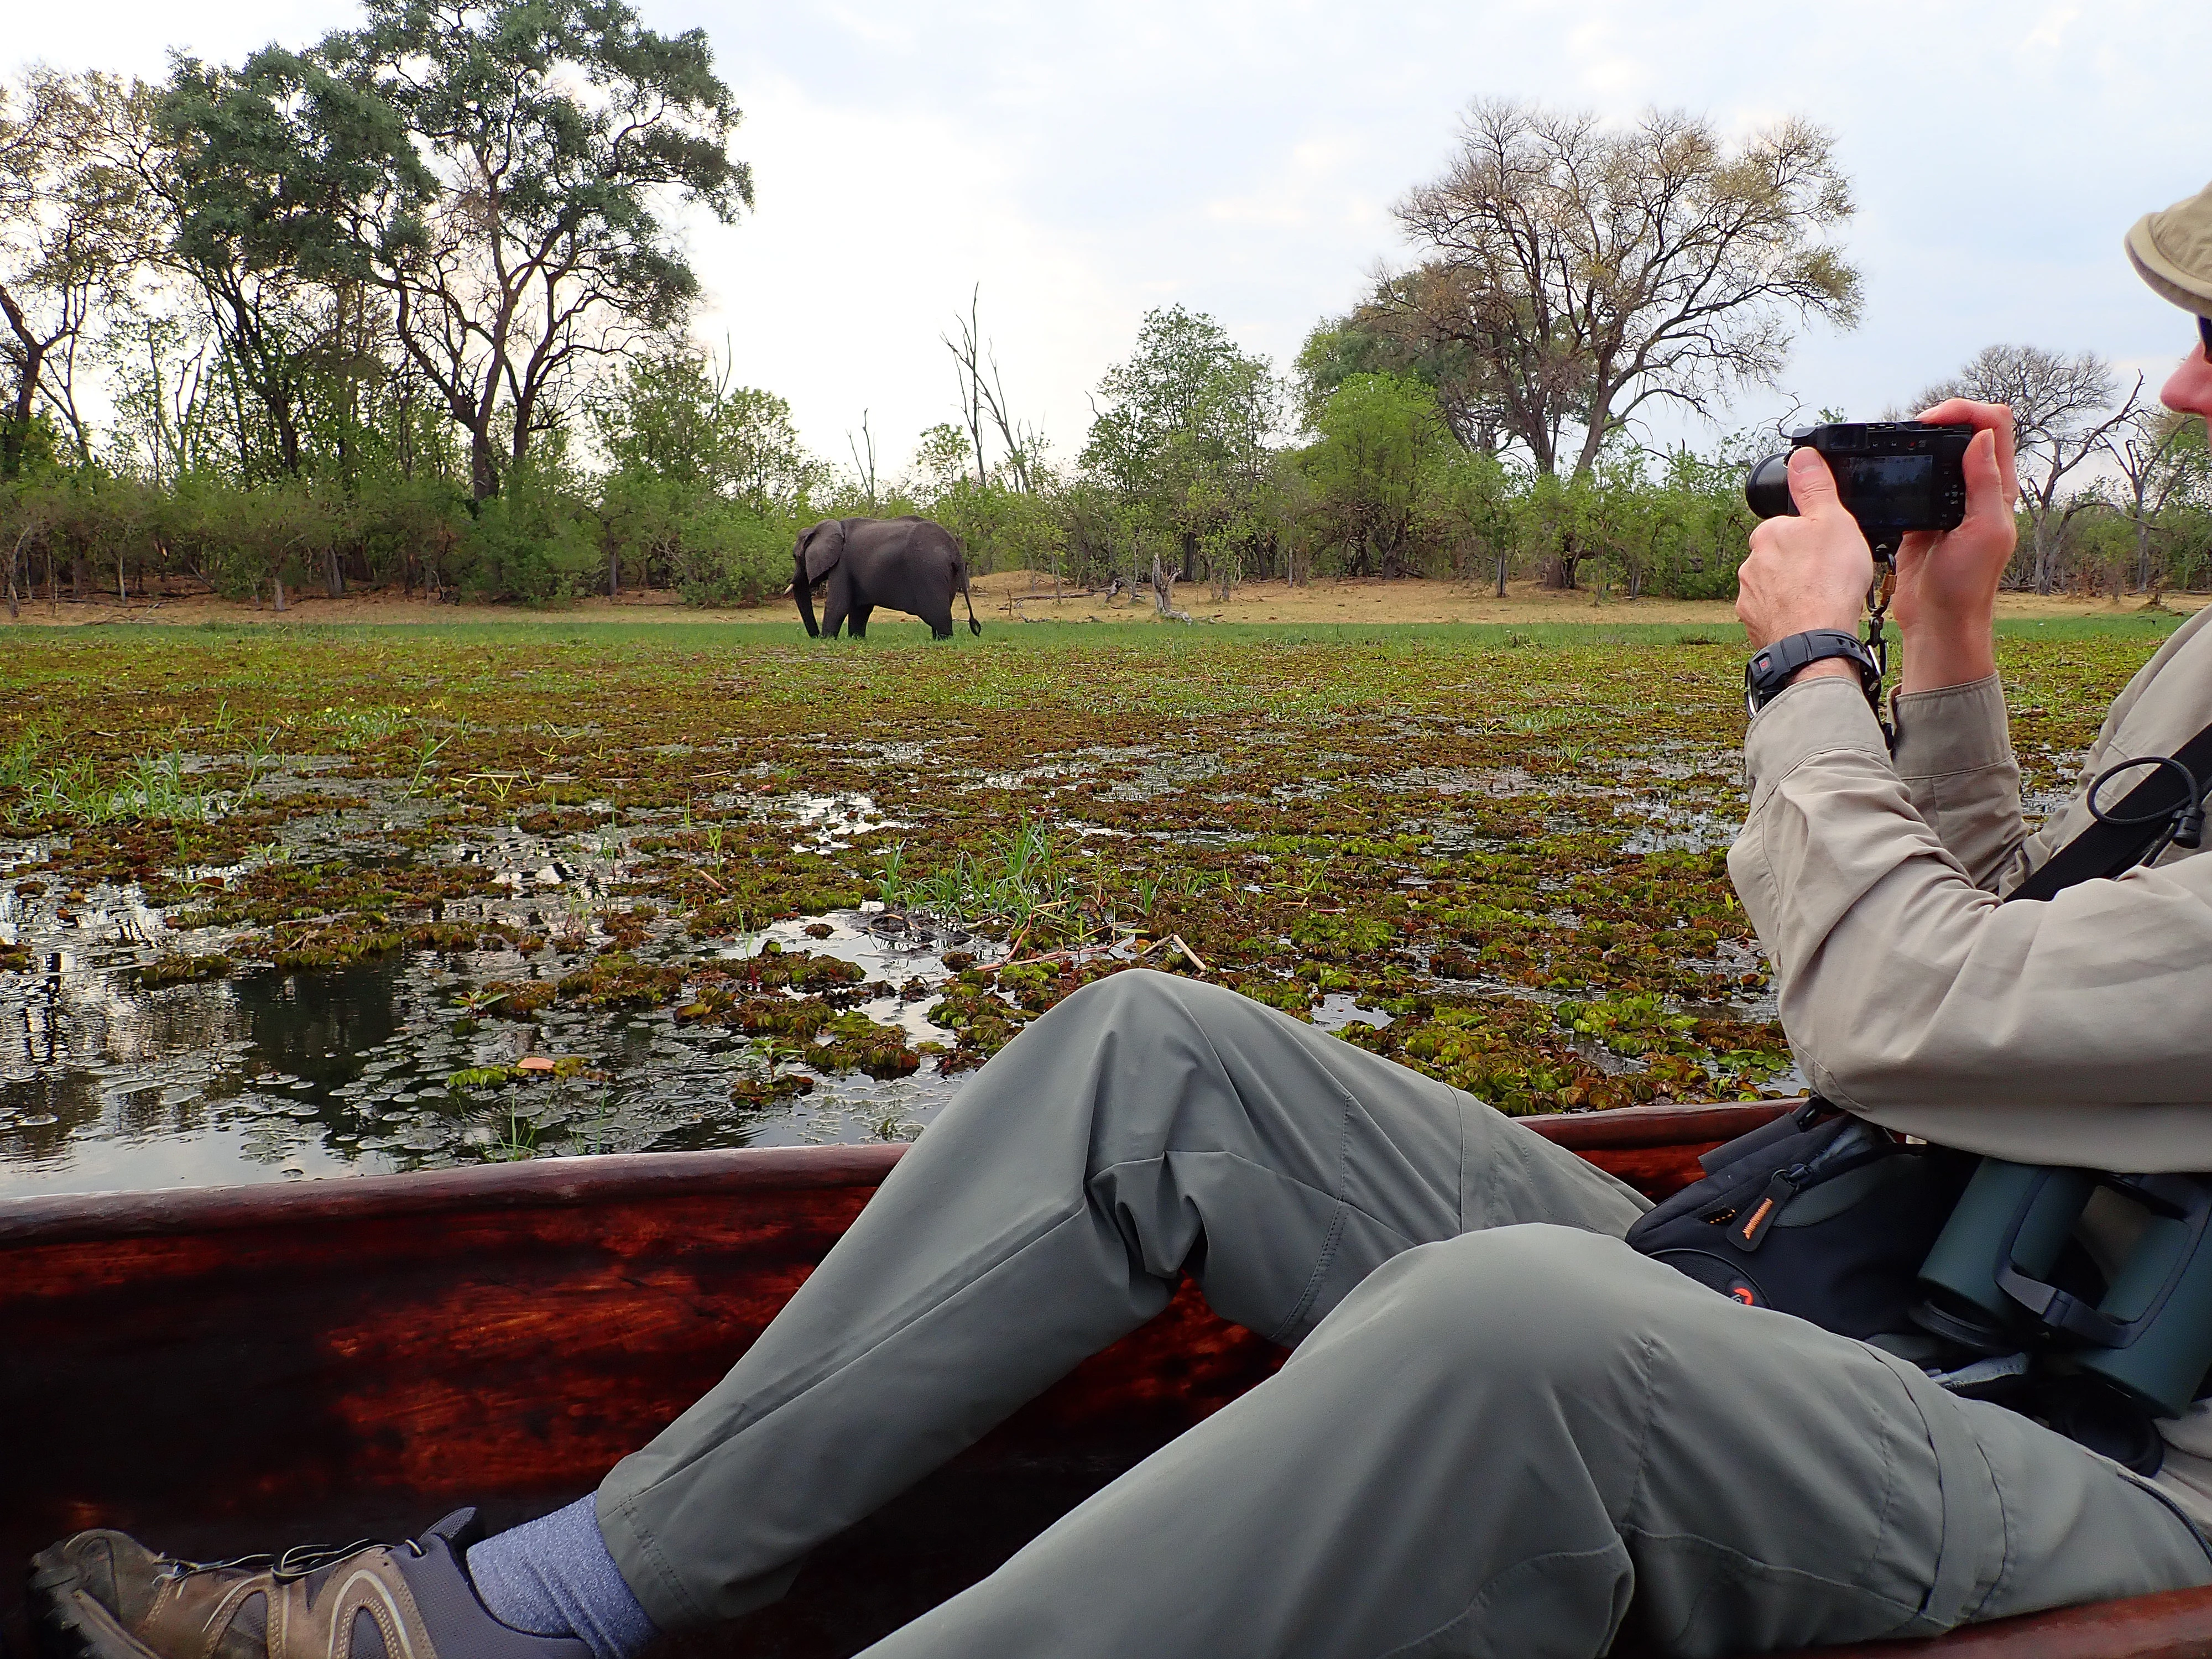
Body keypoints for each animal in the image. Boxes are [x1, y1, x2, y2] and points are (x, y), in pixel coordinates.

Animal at [793, 516, 982, 640]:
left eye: (795, 556)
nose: (816, 637)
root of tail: (954, 548)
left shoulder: (842, 565)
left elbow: (838, 605)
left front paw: (827, 640)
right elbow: (860, 609)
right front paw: (856, 639)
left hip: (929, 571)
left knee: (937, 614)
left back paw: (944, 640)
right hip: (947, 574)